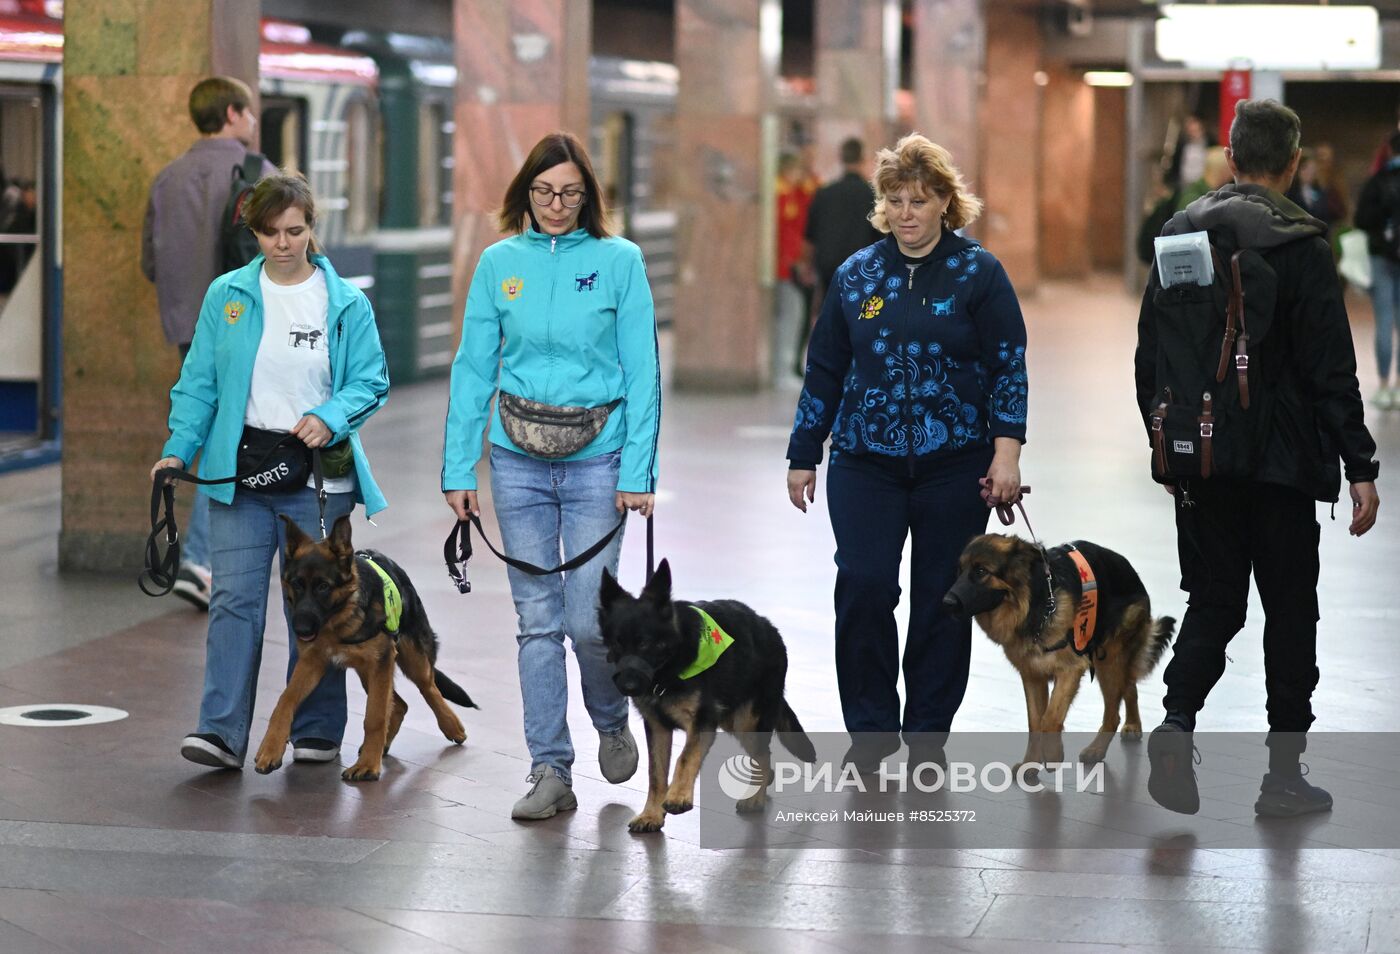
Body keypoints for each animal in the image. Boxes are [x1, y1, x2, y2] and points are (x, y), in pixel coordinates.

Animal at [256, 518, 481, 778]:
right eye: (297, 585)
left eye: (323, 586)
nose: (300, 630)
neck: (340, 620)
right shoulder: (312, 663)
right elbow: (285, 700)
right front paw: (270, 748)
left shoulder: (380, 662)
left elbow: (374, 717)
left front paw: (368, 766)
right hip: (369, 673)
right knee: (400, 704)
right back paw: (383, 745)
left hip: (409, 661)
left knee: (429, 688)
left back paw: (451, 726)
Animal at [596, 563, 817, 829]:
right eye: (617, 644)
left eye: (644, 644)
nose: (628, 687)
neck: (670, 666)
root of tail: (770, 629)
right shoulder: (658, 728)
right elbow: (656, 774)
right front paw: (652, 814)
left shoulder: (702, 723)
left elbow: (685, 757)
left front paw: (678, 796)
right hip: (733, 720)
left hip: (746, 723)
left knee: (763, 757)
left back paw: (755, 798)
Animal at [940, 535, 1170, 767]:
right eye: (959, 571)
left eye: (981, 571)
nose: (946, 603)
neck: (1035, 603)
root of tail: (1130, 570)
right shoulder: (1033, 676)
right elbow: (1035, 723)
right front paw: (1030, 765)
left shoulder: (1070, 670)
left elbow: (1049, 718)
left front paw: (1052, 754)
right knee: (1129, 685)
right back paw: (1133, 724)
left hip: (1109, 662)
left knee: (1114, 712)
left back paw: (1097, 749)